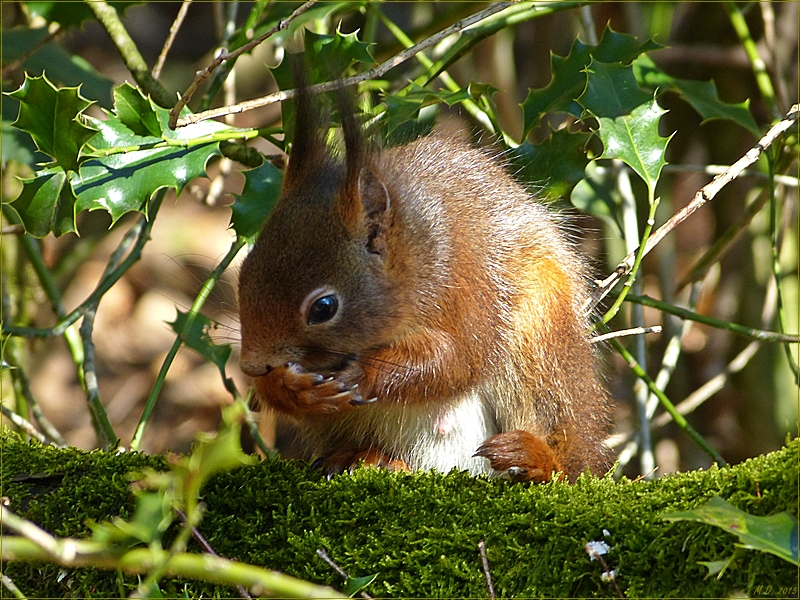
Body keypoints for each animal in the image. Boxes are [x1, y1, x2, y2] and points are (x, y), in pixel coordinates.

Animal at [238, 75, 612, 482]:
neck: (414, 253)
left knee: (566, 447)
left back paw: (536, 460)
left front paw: (360, 375)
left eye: (324, 307)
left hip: (542, 331)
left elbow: (454, 361)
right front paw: (287, 387)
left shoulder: (468, 286)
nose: (251, 365)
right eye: (244, 272)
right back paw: (366, 457)